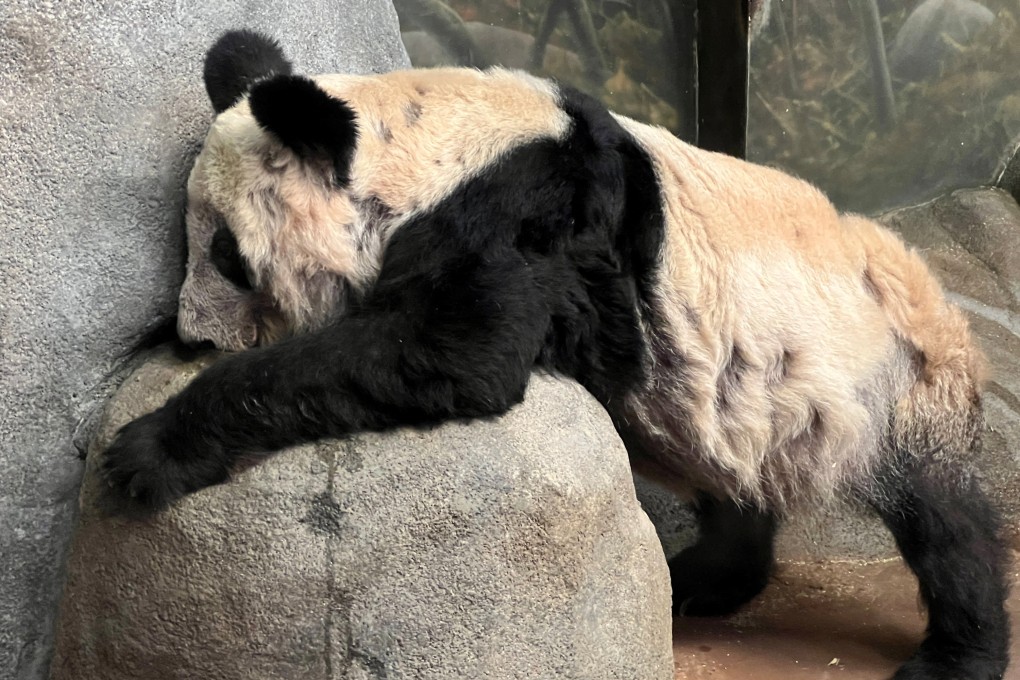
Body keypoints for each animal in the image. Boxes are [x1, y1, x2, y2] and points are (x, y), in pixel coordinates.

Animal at [104, 29, 1009, 679]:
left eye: (226, 252)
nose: (194, 334)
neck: (428, 140)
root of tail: (939, 301)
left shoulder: (526, 216)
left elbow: (453, 353)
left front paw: (146, 451)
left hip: (892, 382)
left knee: (948, 524)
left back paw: (957, 655)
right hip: (739, 394)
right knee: (732, 476)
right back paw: (709, 579)